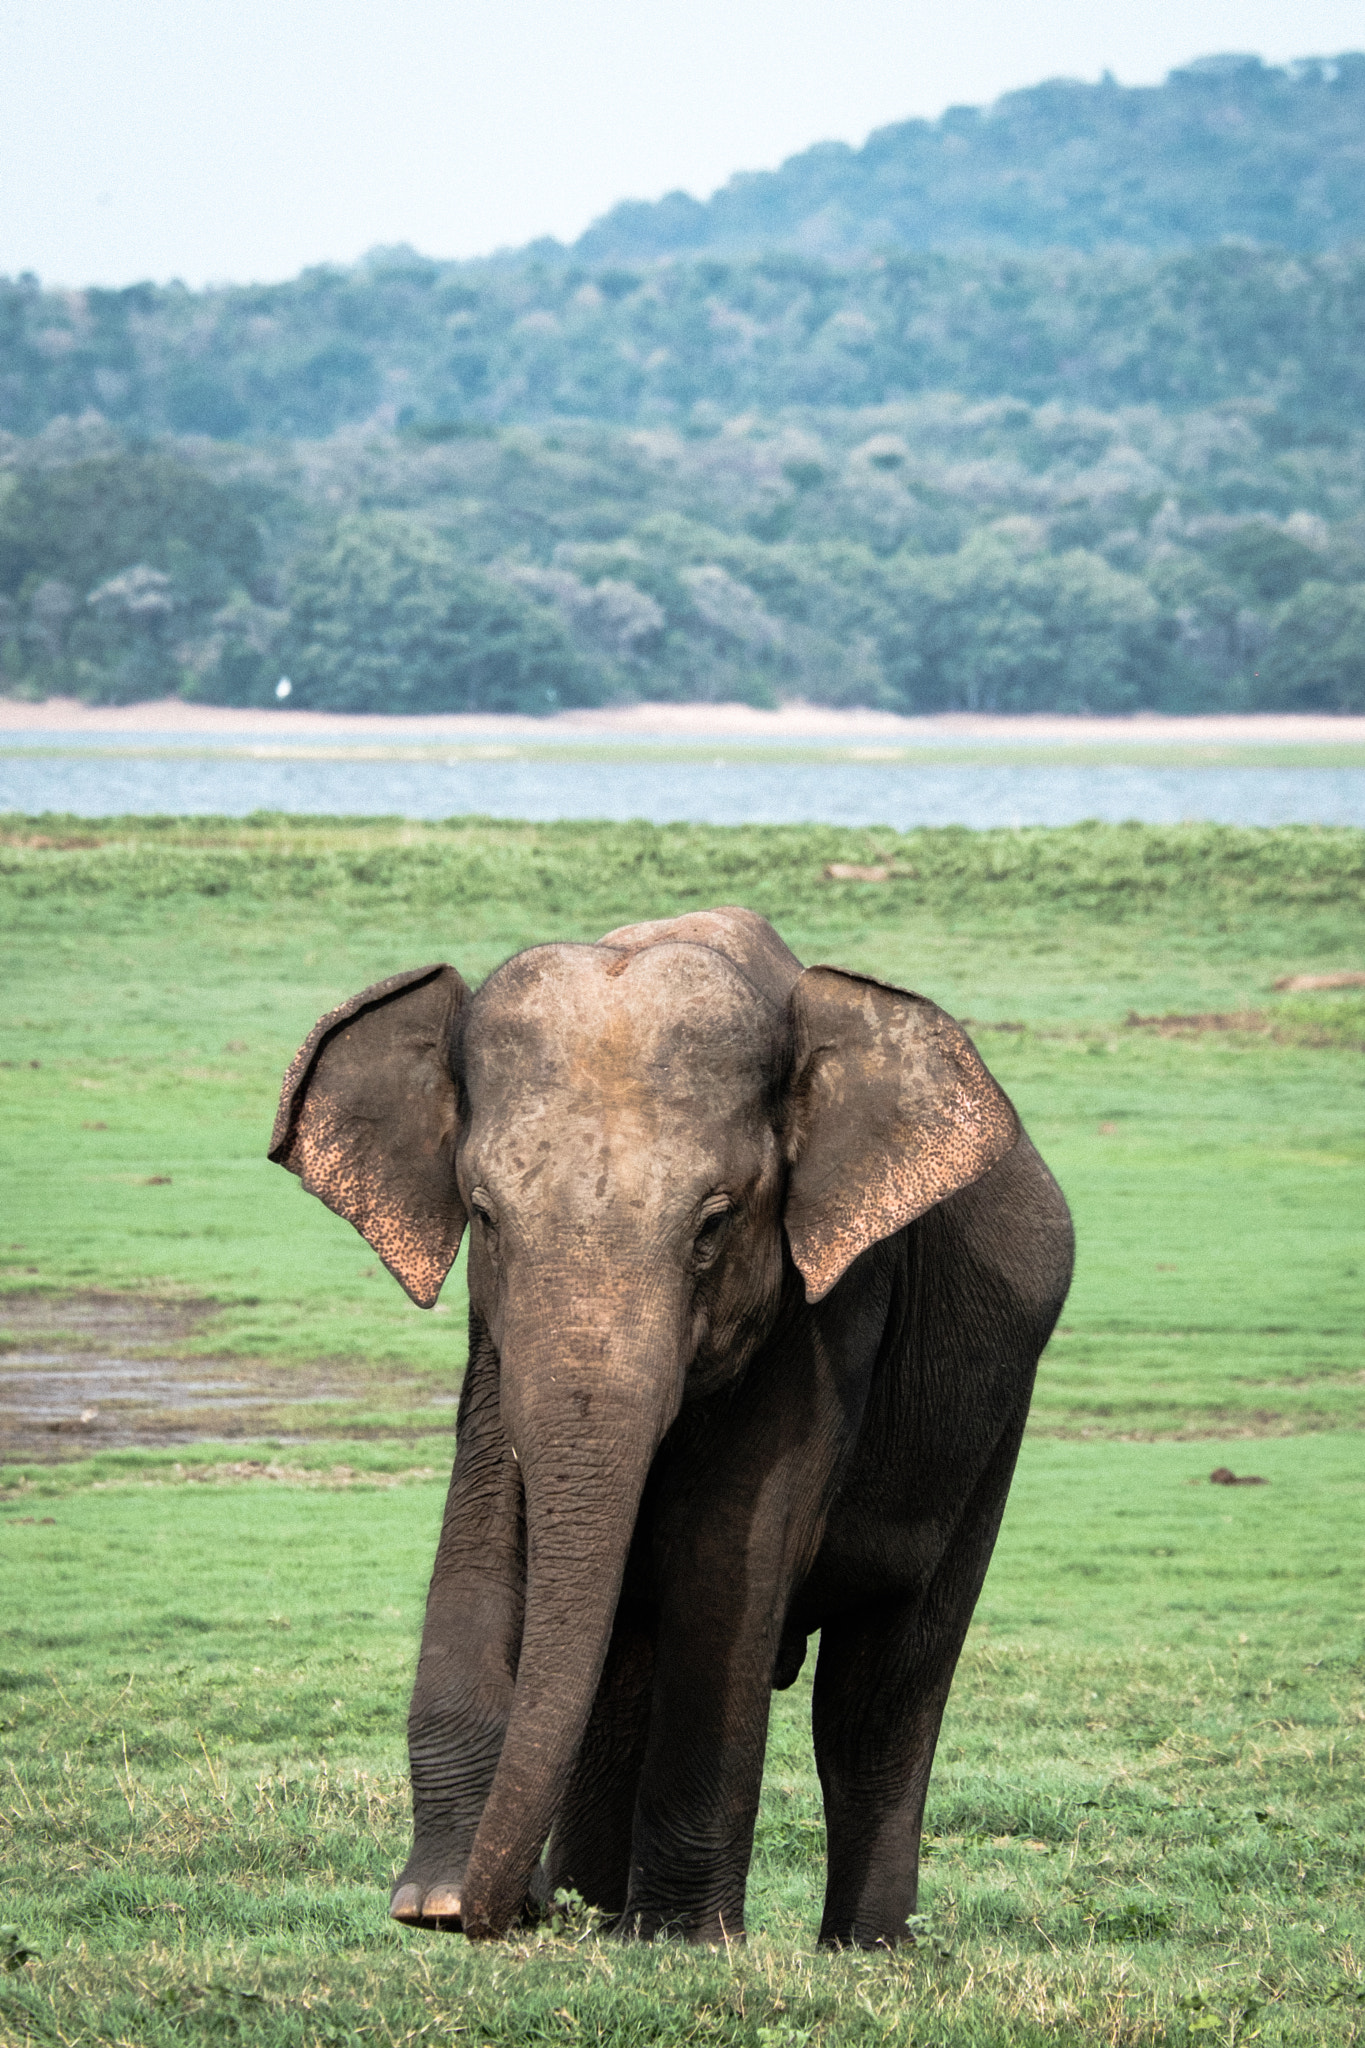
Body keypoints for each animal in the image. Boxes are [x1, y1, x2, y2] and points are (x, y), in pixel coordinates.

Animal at [270, 905, 1080, 1941]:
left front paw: (681, 1941)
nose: (520, 1907)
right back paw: (607, 1908)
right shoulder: (496, 1331)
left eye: (713, 1224)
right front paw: (435, 1906)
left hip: (993, 1423)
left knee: (878, 1696)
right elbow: (487, 1514)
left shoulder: (834, 1302)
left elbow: (725, 1550)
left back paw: (859, 1950)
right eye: (483, 1215)